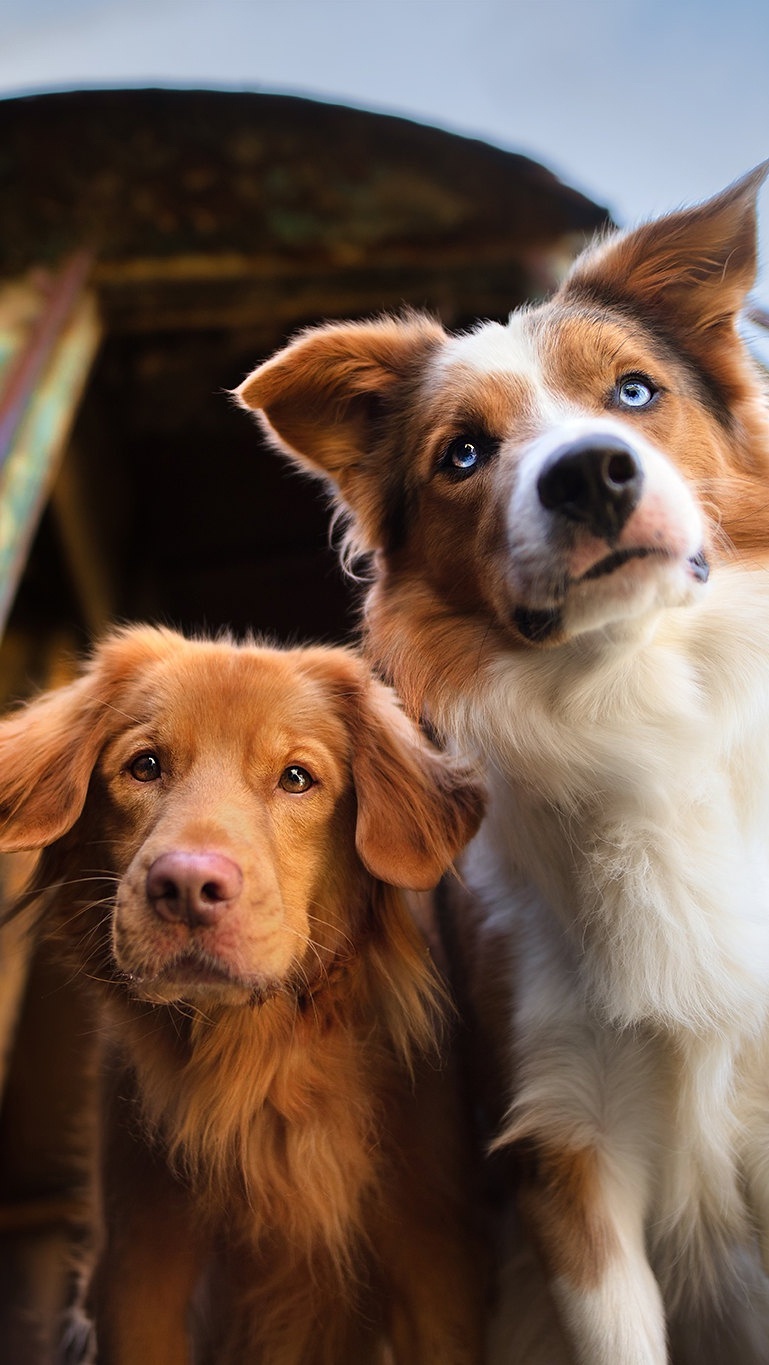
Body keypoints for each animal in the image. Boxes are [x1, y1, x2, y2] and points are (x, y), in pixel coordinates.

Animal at [0, 627, 486, 1365]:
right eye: (145, 766)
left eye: (296, 778)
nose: (186, 888)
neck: (259, 1073)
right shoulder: (140, 1274)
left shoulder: (430, 1264)